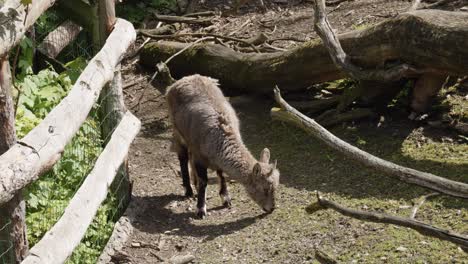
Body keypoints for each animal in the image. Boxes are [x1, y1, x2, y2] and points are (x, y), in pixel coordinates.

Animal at [166, 75, 280, 219]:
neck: (219, 137)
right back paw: (188, 190)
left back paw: (194, 184)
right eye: (265, 188)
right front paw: (201, 209)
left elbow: (221, 173)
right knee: (183, 157)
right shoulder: (200, 156)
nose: (271, 208)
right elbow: (204, 181)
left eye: (275, 187)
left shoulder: (215, 157)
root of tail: (178, 82)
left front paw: (225, 198)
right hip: (177, 131)